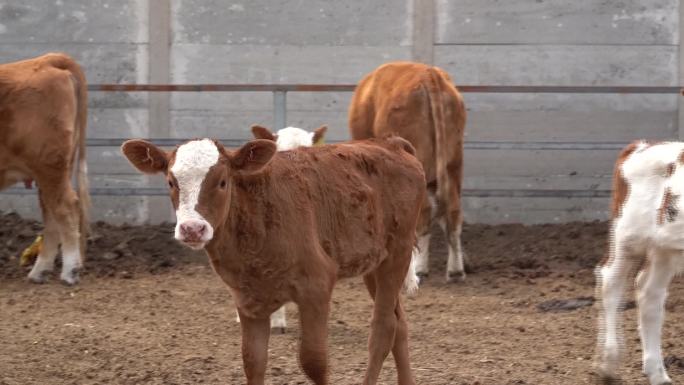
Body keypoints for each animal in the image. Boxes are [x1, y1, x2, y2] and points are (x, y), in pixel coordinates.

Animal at [0, 52, 89, 284]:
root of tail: (47, 59)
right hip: (54, 169)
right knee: (51, 213)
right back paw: (40, 271)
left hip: (49, 165)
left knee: (65, 207)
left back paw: (70, 271)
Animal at [120, 136, 424, 384]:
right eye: (172, 182)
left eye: (222, 181)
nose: (192, 229)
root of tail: (391, 143)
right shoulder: (247, 298)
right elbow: (253, 361)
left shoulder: (316, 285)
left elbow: (314, 362)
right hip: (374, 261)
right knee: (400, 324)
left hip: (398, 252)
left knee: (383, 329)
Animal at [350, 60, 468, 282]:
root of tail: (429, 75)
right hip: (454, 163)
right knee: (453, 211)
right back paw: (456, 269)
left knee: (425, 212)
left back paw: (420, 267)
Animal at [596, 141, 684, 384]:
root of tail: (641, 145)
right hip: (627, 235)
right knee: (611, 282)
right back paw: (608, 362)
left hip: (664, 248)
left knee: (649, 293)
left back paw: (657, 373)